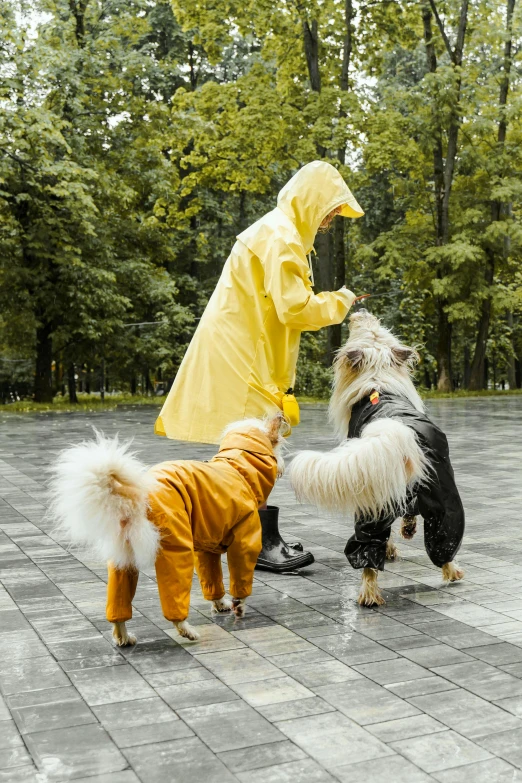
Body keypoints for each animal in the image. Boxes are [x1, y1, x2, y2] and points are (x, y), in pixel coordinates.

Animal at [49, 416, 284, 644]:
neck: (238, 468)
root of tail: (137, 496)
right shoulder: (244, 541)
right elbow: (240, 577)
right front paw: (238, 605)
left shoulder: (207, 549)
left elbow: (212, 579)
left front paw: (219, 604)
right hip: (176, 548)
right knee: (174, 597)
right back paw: (186, 630)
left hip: (123, 557)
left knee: (118, 602)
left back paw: (123, 636)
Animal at [288, 308, 464, 608]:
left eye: (372, 326)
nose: (360, 310)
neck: (378, 381)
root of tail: (395, 430)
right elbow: (409, 510)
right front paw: (407, 531)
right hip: (442, 491)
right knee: (443, 537)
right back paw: (449, 572)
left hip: (370, 500)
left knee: (369, 552)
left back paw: (369, 593)